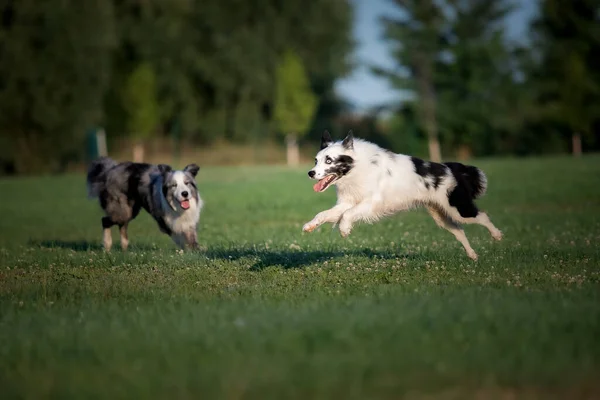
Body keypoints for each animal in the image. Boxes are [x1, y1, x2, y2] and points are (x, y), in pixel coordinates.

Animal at [302, 130, 504, 260]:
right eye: (316, 160)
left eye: (329, 160)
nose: (310, 173)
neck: (356, 169)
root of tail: (451, 168)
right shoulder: (347, 202)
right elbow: (325, 214)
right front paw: (310, 226)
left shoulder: (372, 202)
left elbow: (347, 215)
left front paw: (344, 230)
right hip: (441, 215)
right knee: (460, 231)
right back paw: (472, 255)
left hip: (458, 208)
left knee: (482, 216)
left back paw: (496, 235)